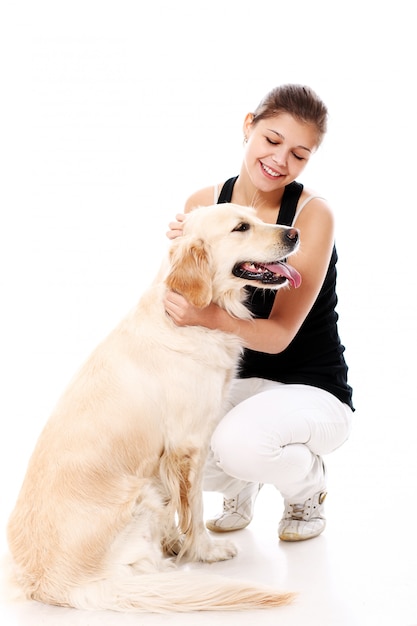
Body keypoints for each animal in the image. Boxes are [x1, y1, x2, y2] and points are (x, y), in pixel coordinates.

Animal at [6, 204, 300, 608]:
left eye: (255, 217)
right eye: (241, 227)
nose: (295, 233)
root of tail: (50, 582)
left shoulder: (174, 454)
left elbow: (181, 508)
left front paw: (181, 543)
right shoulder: (189, 444)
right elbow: (193, 507)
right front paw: (205, 551)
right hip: (141, 493)